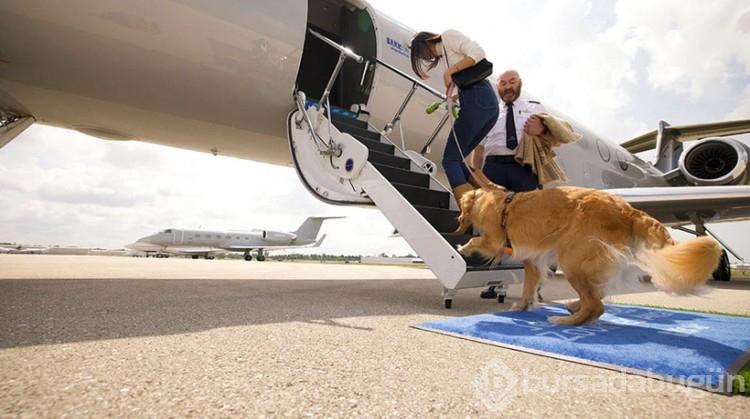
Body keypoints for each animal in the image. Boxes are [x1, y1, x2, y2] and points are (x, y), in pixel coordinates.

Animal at [456, 187, 724, 328]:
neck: (494, 201)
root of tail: (628, 209)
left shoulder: (494, 240)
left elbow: (478, 242)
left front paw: (463, 247)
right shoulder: (533, 259)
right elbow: (529, 286)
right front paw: (523, 305)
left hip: (571, 258)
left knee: (596, 304)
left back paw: (565, 320)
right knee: (599, 292)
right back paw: (575, 306)